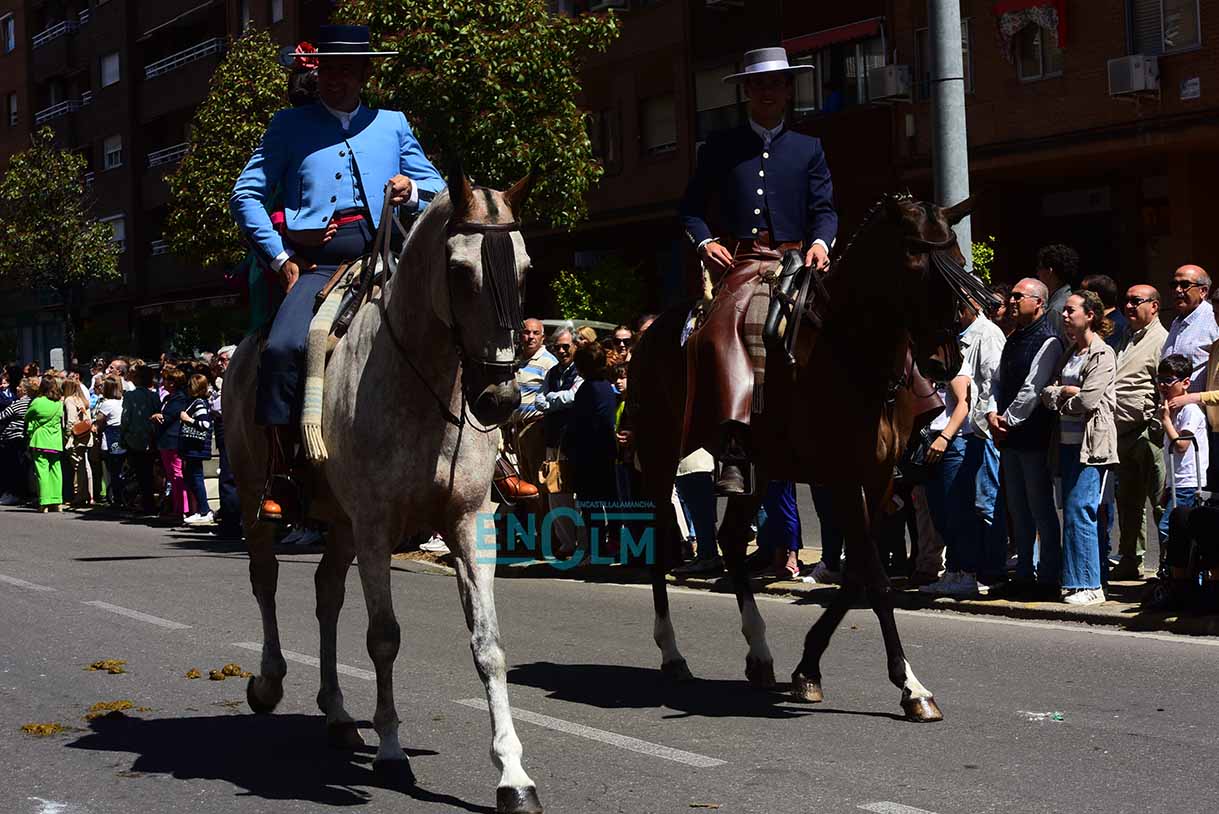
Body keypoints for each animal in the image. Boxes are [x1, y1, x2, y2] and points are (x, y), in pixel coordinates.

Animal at [223, 169, 544, 814]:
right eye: (460, 271)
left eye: (525, 270)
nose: (499, 399)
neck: (426, 387)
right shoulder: (375, 526)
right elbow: (384, 638)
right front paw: (393, 750)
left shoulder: (471, 523)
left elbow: (489, 645)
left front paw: (513, 774)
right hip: (255, 502)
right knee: (265, 581)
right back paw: (269, 681)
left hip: (340, 523)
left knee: (326, 595)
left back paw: (339, 714)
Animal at [627, 193, 976, 721]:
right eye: (917, 264)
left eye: (958, 262)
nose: (945, 361)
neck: (852, 354)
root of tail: (649, 331)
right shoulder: (844, 478)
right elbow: (874, 578)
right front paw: (911, 686)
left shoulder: (877, 479)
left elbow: (857, 574)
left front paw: (808, 668)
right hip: (661, 451)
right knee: (660, 543)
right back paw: (672, 653)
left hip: (758, 468)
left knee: (731, 540)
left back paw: (759, 653)